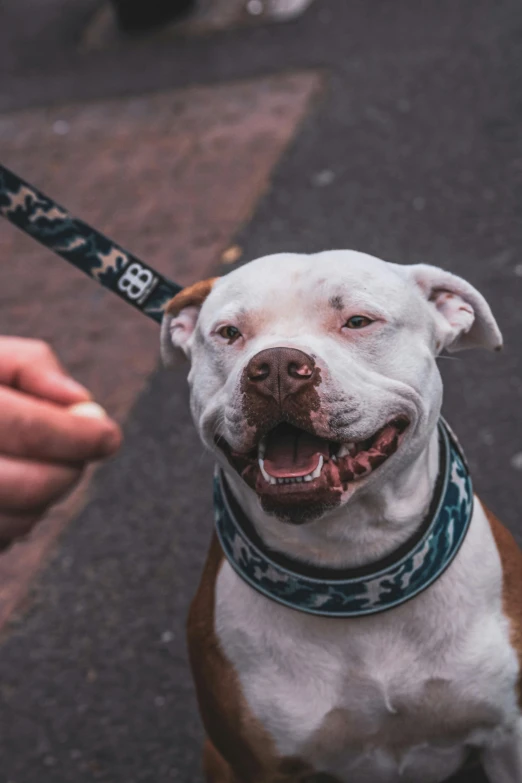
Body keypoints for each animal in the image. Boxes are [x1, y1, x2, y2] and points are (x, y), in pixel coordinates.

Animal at [160, 251, 516, 783]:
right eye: (228, 333)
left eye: (358, 321)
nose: (276, 366)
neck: (353, 570)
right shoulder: (256, 764)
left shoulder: (507, 736)